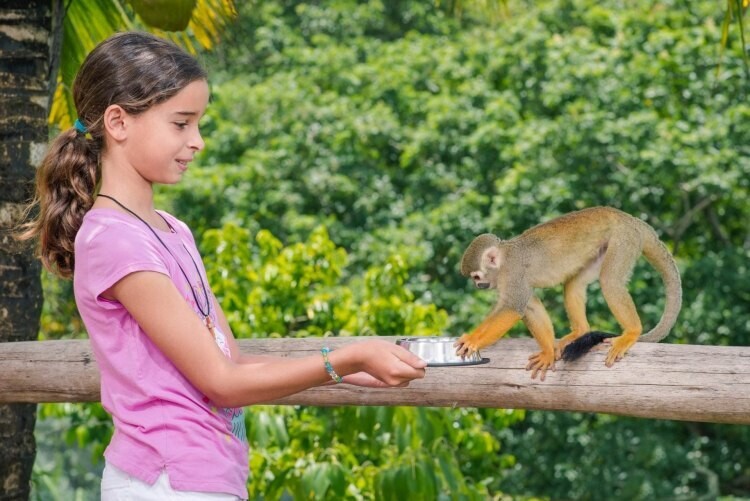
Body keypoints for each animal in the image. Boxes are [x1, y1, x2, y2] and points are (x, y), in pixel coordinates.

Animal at [455, 206, 682, 381]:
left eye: (476, 276)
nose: (479, 285)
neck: (503, 262)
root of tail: (631, 219)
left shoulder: (514, 274)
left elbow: (513, 308)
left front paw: (473, 340)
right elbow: (530, 306)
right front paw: (547, 353)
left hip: (624, 240)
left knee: (610, 282)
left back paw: (632, 332)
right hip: (603, 247)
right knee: (573, 284)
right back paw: (580, 331)